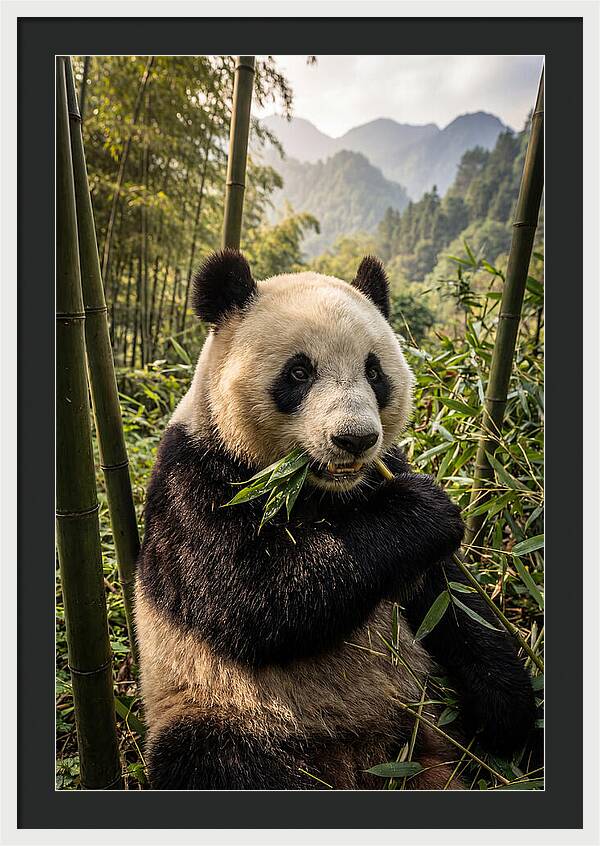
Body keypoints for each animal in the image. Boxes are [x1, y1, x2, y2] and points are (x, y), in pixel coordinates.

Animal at [134, 249, 536, 790]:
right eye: (299, 373)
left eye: (374, 371)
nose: (355, 438)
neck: (318, 489)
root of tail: (363, 760)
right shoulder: (196, 478)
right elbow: (251, 597)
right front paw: (423, 510)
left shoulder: (384, 475)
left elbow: (452, 602)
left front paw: (508, 711)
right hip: (223, 707)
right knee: (213, 761)